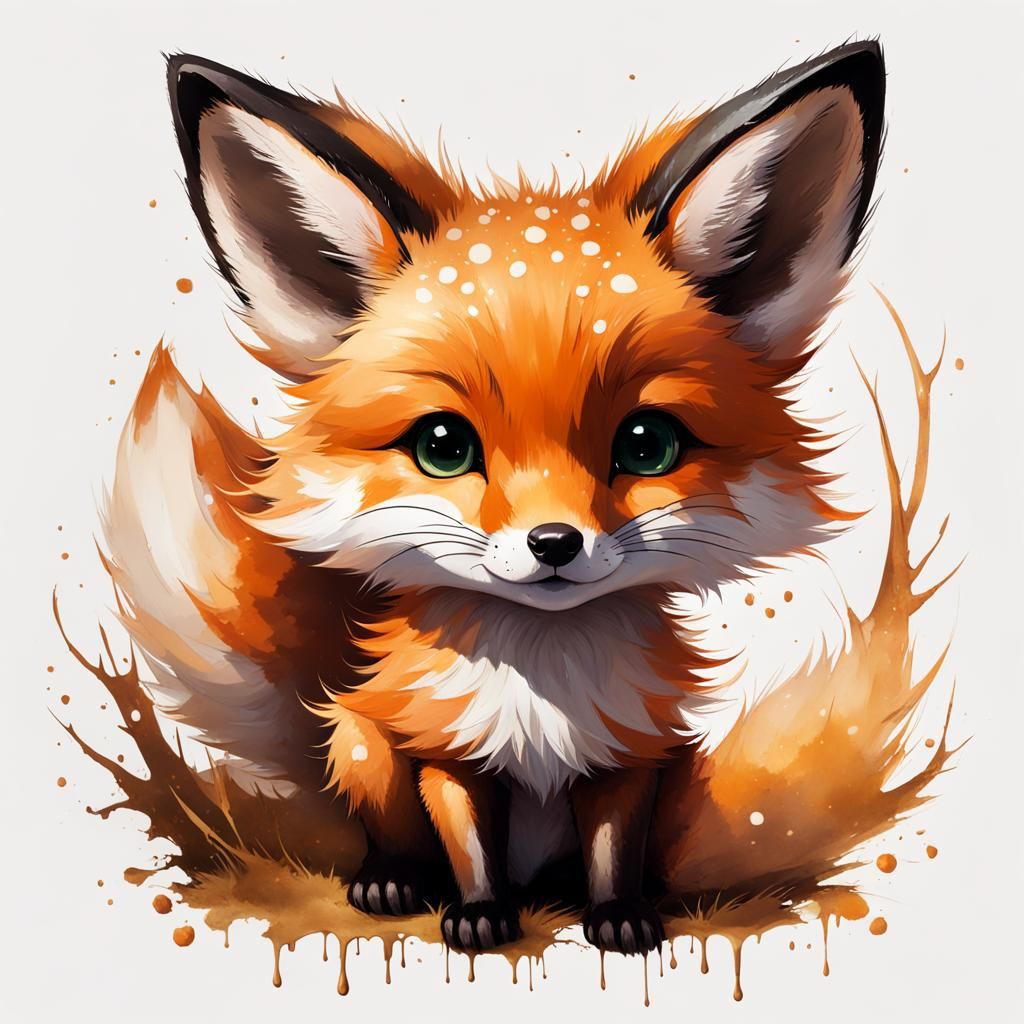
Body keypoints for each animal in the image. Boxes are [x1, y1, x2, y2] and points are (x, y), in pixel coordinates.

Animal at [104, 41, 884, 955]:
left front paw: (620, 917)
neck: (543, 692)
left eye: (647, 444)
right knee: (391, 831)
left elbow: (613, 851)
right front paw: (477, 916)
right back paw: (390, 880)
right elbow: (467, 842)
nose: (555, 543)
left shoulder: (628, 753)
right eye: (444, 446)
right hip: (363, 747)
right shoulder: (446, 751)